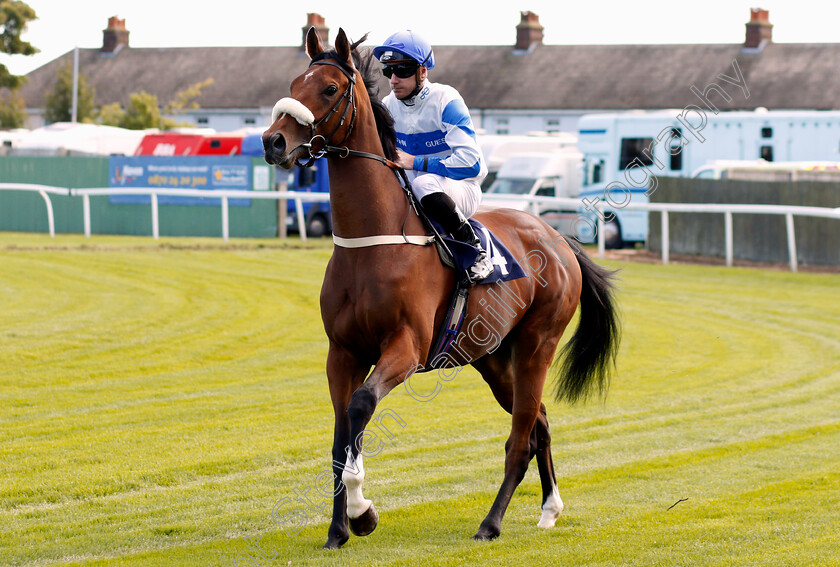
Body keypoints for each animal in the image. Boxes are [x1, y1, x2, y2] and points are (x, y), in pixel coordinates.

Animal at [264, 27, 624, 552]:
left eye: (329, 89)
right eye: (294, 82)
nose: (272, 141)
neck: (372, 244)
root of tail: (558, 241)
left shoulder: (406, 347)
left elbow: (361, 406)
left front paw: (362, 511)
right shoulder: (342, 352)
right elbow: (339, 435)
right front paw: (338, 530)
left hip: (536, 345)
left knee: (520, 439)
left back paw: (491, 524)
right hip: (492, 357)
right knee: (538, 422)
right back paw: (549, 509)